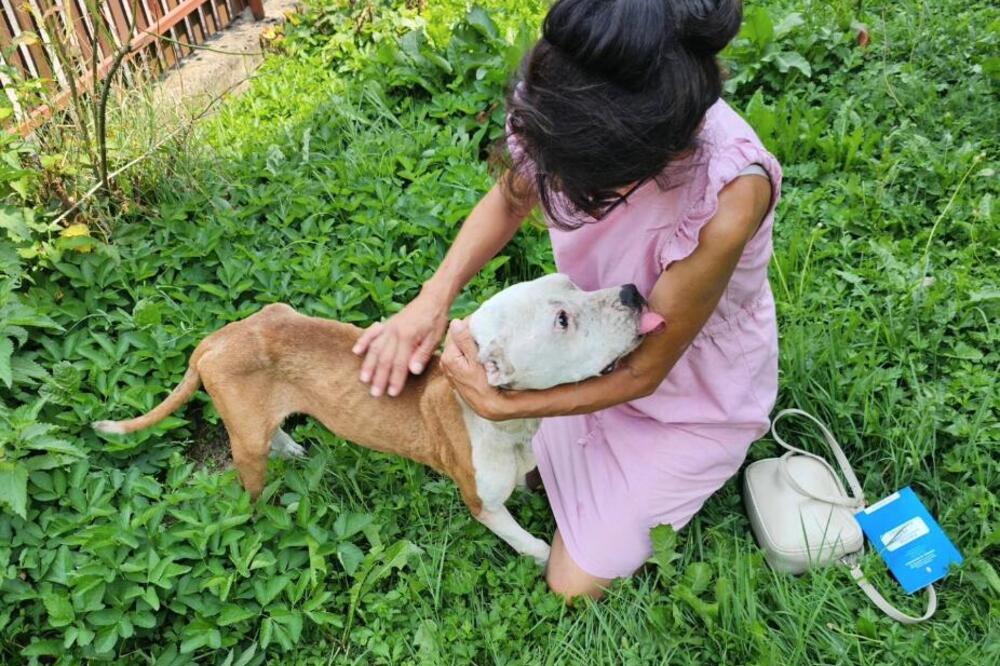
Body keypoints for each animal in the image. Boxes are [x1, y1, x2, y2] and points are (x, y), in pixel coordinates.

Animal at [94, 272, 664, 564]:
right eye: (563, 320)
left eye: (571, 284)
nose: (632, 292)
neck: (502, 424)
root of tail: (213, 340)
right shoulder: (481, 503)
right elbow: (529, 542)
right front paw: (545, 560)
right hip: (246, 455)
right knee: (251, 488)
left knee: (271, 431)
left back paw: (294, 448)